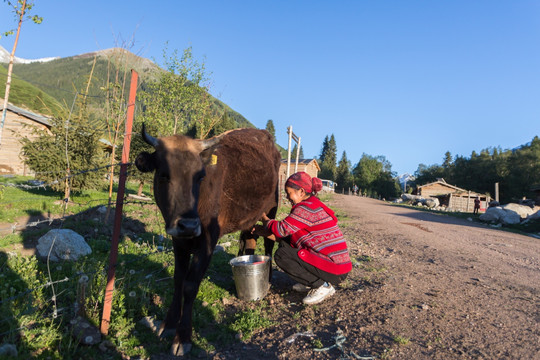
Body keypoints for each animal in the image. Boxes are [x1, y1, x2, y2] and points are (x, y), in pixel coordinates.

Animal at [135, 125, 280, 356]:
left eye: (200, 176)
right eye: (164, 175)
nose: (188, 225)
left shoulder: (208, 242)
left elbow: (190, 285)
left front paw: (183, 337)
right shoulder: (178, 240)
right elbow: (178, 279)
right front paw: (169, 324)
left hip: (272, 208)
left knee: (268, 242)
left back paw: (268, 277)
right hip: (249, 216)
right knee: (248, 241)